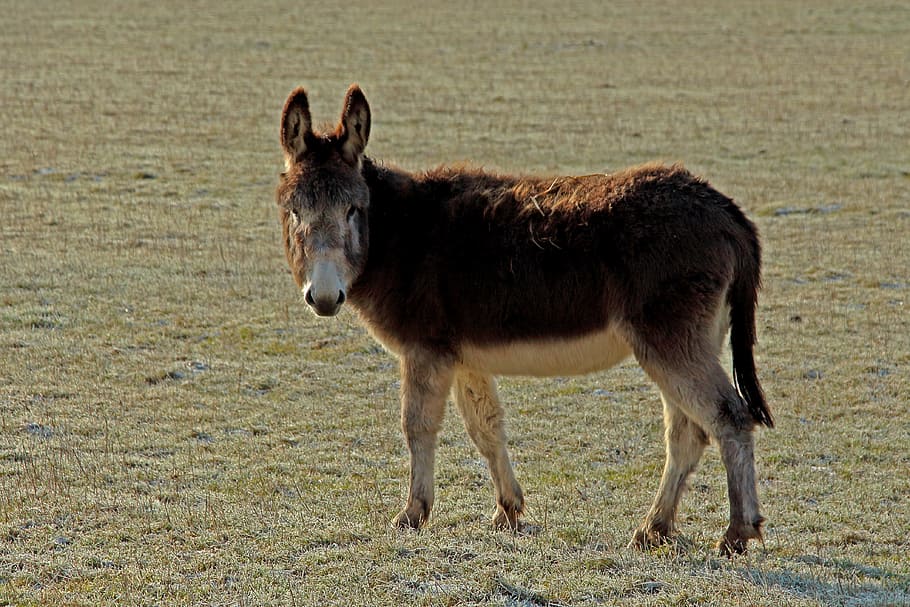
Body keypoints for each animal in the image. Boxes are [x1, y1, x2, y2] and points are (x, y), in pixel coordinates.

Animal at [275, 84, 773, 555]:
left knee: (728, 417)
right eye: (294, 211)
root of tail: (725, 209)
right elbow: (486, 428)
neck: (398, 233)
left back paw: (736, 532)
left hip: (670, 341)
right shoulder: (464, 357)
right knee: (687, 432)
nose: (324, 297)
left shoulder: (425, 350)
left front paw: (413, 513)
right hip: (684, 340)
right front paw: (507, 510)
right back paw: (654, 528)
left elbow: (417, 426)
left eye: (353, 210)